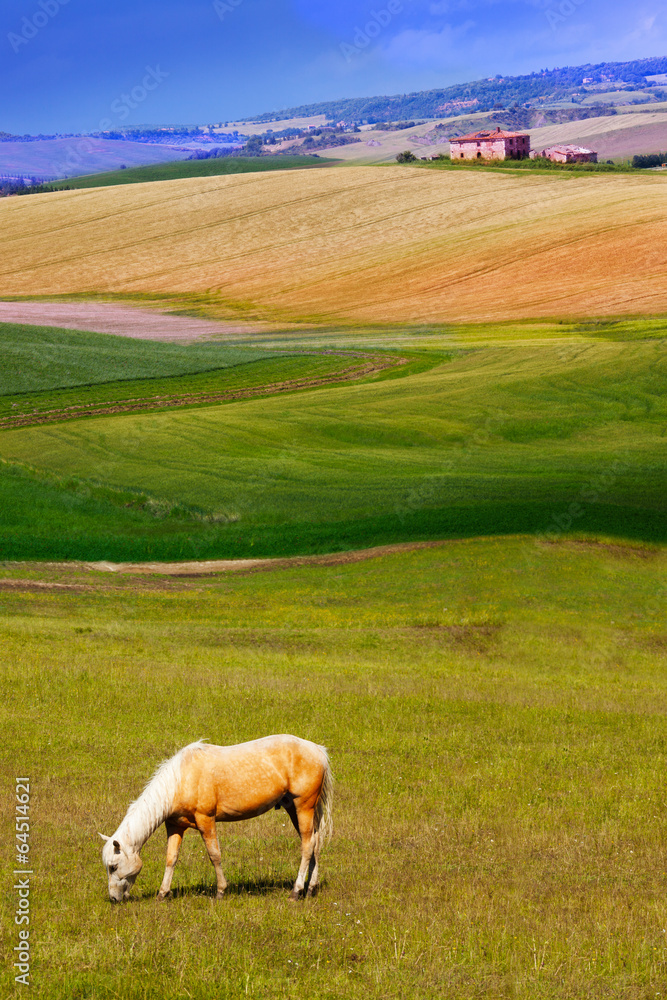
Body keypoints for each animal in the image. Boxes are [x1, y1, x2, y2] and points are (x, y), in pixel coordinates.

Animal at [99, 736, 334, 908]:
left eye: (113, 866)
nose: (114, 899)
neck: (180, 780)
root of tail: (318, 750)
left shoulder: (206, 821)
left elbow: (215, 855)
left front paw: (221, 891)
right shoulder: (175, 826)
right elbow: (171, 859)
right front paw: (162, 893)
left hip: (303, 807)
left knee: (307, 846)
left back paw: (296, 891)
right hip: (294, 809)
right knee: (314, 843)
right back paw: (310, 888)